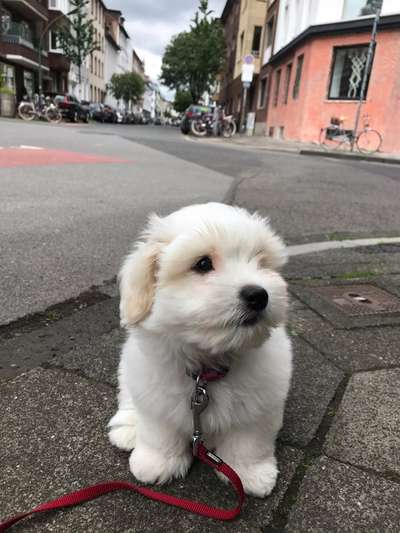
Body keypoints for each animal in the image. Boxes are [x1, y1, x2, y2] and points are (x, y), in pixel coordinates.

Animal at [108, 202, 292, 496]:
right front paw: (158, 462)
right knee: (127, 398)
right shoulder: (156, 396)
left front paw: (250, 474)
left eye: (261, 262)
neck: (206, 370)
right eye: (203, 264)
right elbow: (160, 432)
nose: (258, 295)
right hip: (129, 371)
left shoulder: (261, 403)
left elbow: (249, 442)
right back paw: (127, 429)